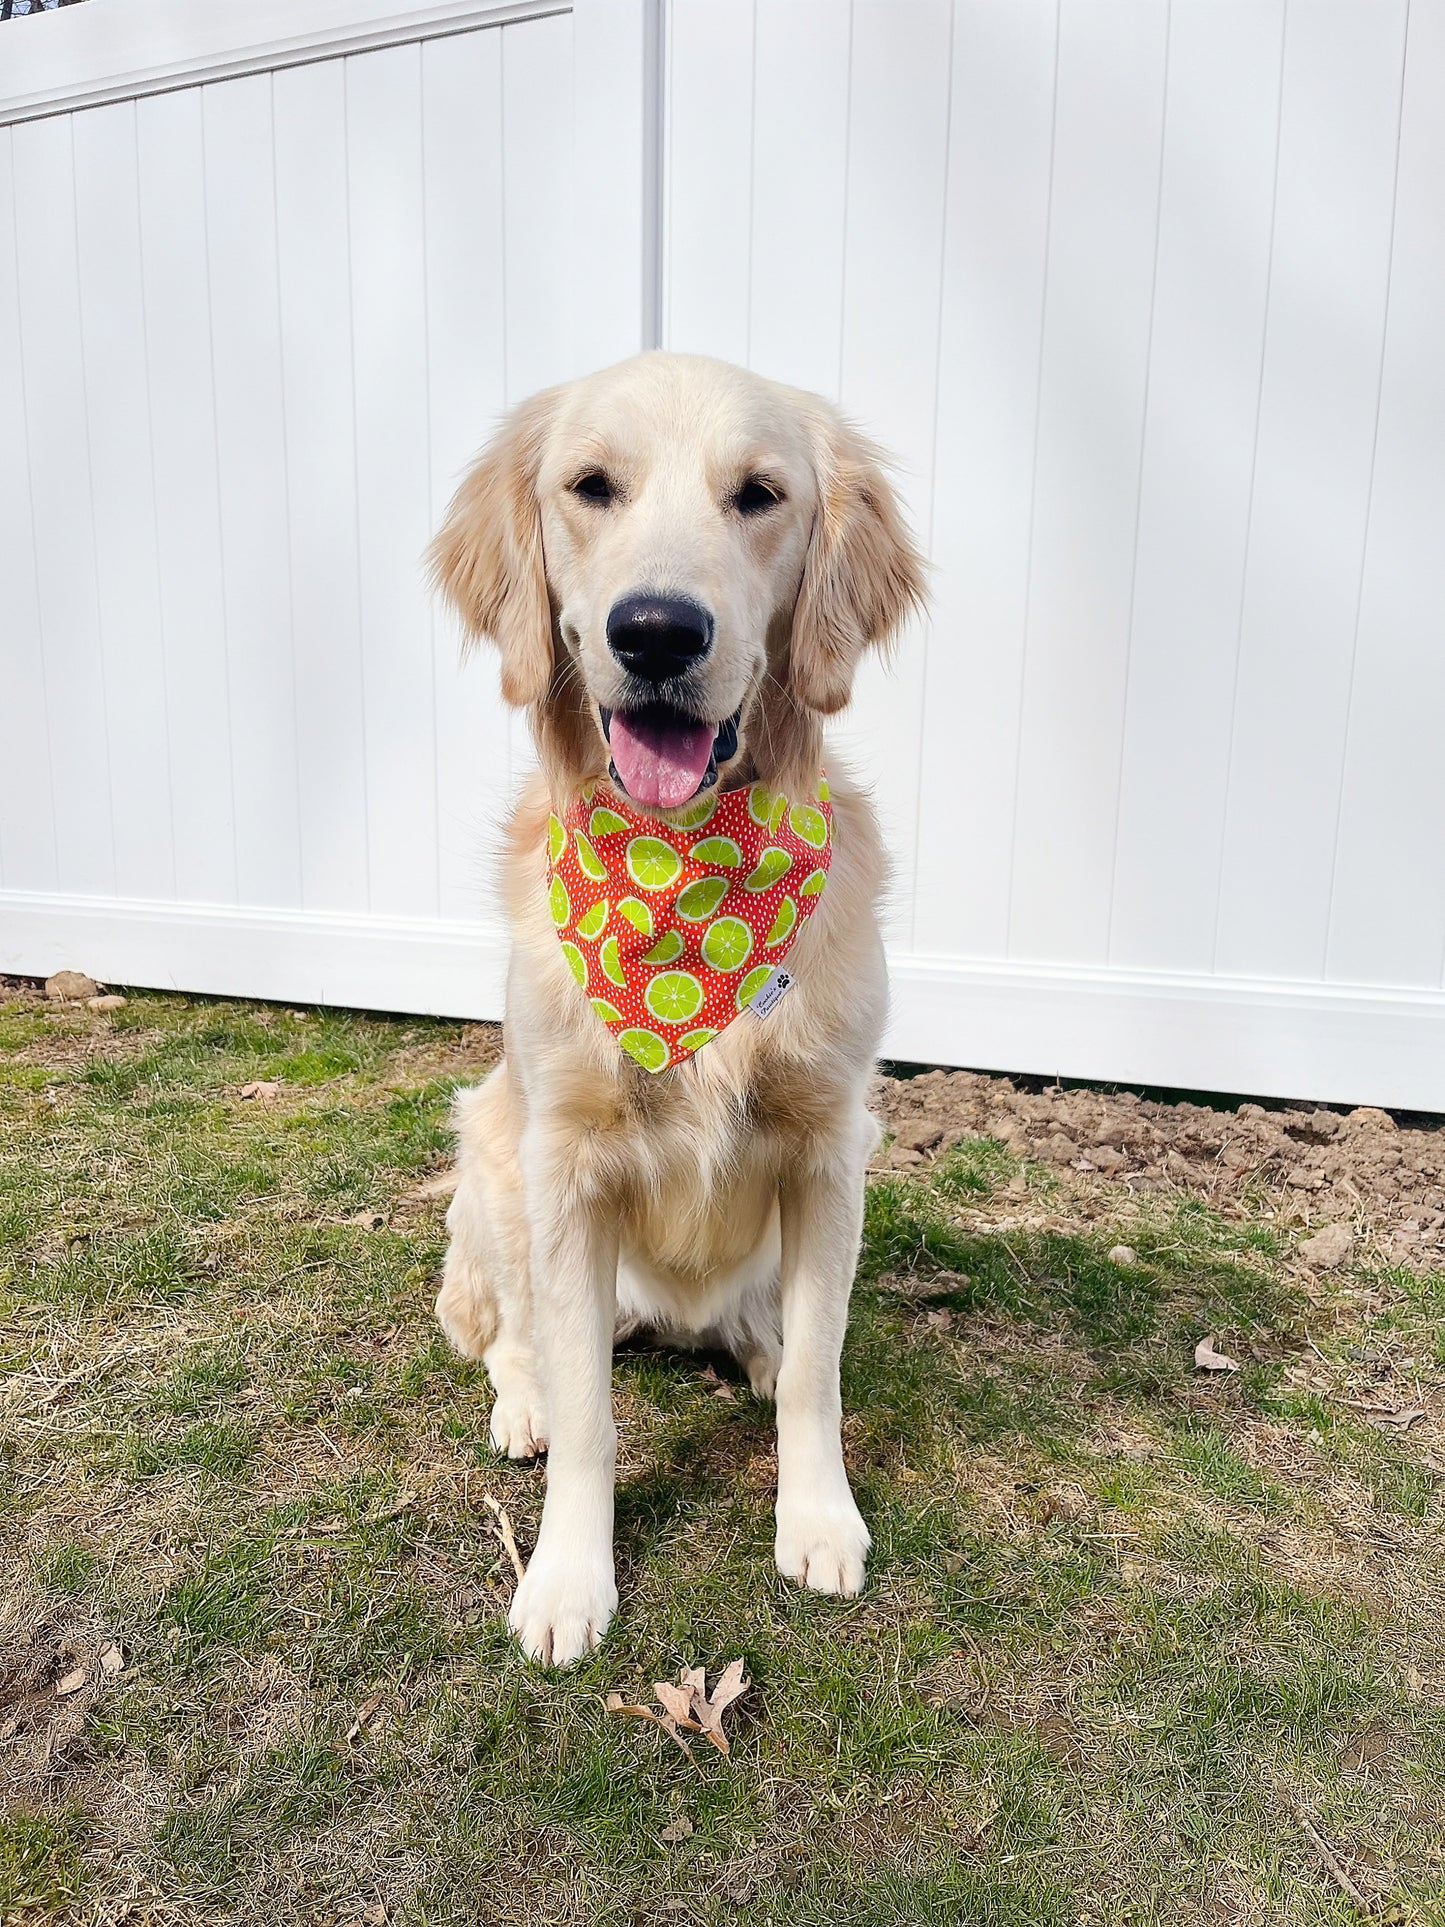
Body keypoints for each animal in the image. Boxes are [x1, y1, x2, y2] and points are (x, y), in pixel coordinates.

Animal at [429, 354, 928, 1664]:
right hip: (490, 1157)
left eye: (758, 494)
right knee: (513, 1337)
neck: (684, 887)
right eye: (589, 486)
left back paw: (750, 1347)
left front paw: (816, 1518)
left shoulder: (829, 1146)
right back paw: (522, 1402)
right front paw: (566, 1579)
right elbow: (592, 1420)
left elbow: (817, 1373)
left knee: (770, 1332)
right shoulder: (562, 1163)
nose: (655, 630)